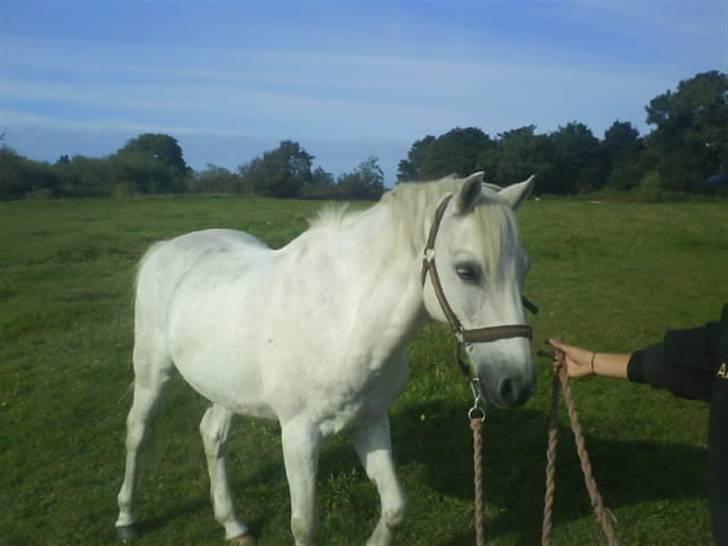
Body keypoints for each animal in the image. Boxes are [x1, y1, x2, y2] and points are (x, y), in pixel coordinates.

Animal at [115, 171, 536, 546]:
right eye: (467, 271)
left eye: (524, 268)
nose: (516, 385)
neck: (344, 317)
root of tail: (167, 247)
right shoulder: (299, 435)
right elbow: (304, 525)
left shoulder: (369, 421)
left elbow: (395, 508)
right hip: (152, 372)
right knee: (138, 432)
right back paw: (126, 519)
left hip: (225, 386)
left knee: (212, 435)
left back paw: (233, 526)